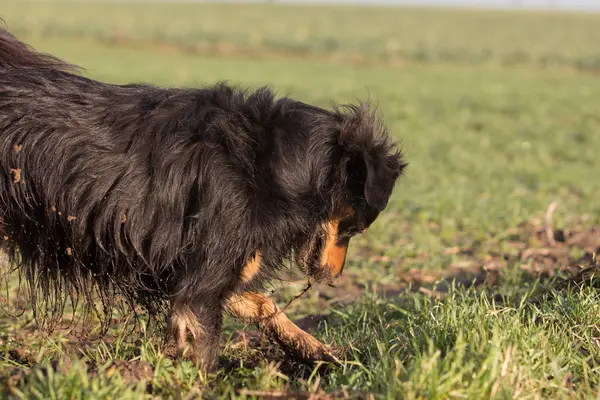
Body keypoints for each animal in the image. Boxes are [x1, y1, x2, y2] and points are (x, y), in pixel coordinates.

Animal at [0, 27, 408, 372]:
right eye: (355, 227)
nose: (334, 279)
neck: (279, 164)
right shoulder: (206, 275)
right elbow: (206, 342)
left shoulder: (213, 265)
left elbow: (261, 302)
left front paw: (317, 351)